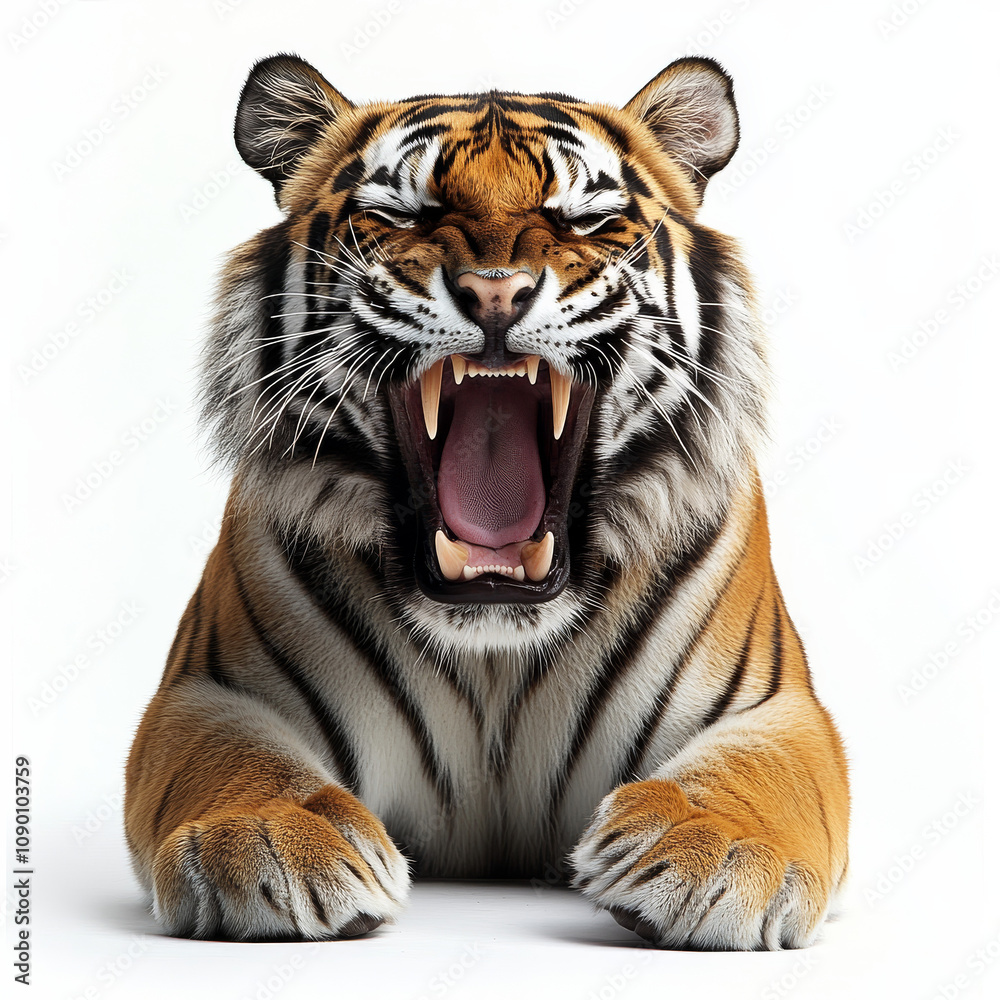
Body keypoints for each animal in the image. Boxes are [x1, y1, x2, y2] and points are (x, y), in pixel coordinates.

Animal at [124, 52, 850, 950]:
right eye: (400, 213)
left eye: (585, 221)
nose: (496, 293)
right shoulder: (208, 692)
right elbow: (235, 760)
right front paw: (269, 838)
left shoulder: (778, 709)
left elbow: (757, 773)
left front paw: (712, 850)